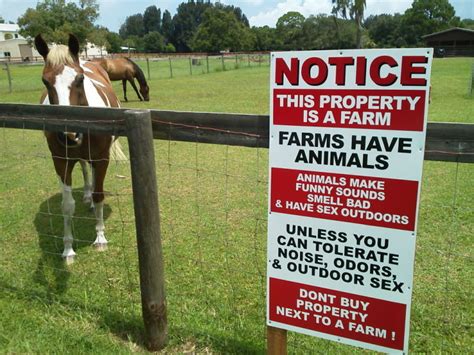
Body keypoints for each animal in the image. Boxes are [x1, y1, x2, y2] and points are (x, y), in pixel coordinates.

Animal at [35, 34, 123, 264]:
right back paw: (86, 195)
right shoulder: (60, 161)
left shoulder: (102, 159)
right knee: (84, 169)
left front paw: (100, 238)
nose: (69, 134)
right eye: (45, 81)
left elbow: (100, 195)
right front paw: (68, 249)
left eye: (80, 79)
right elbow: (67, 205)